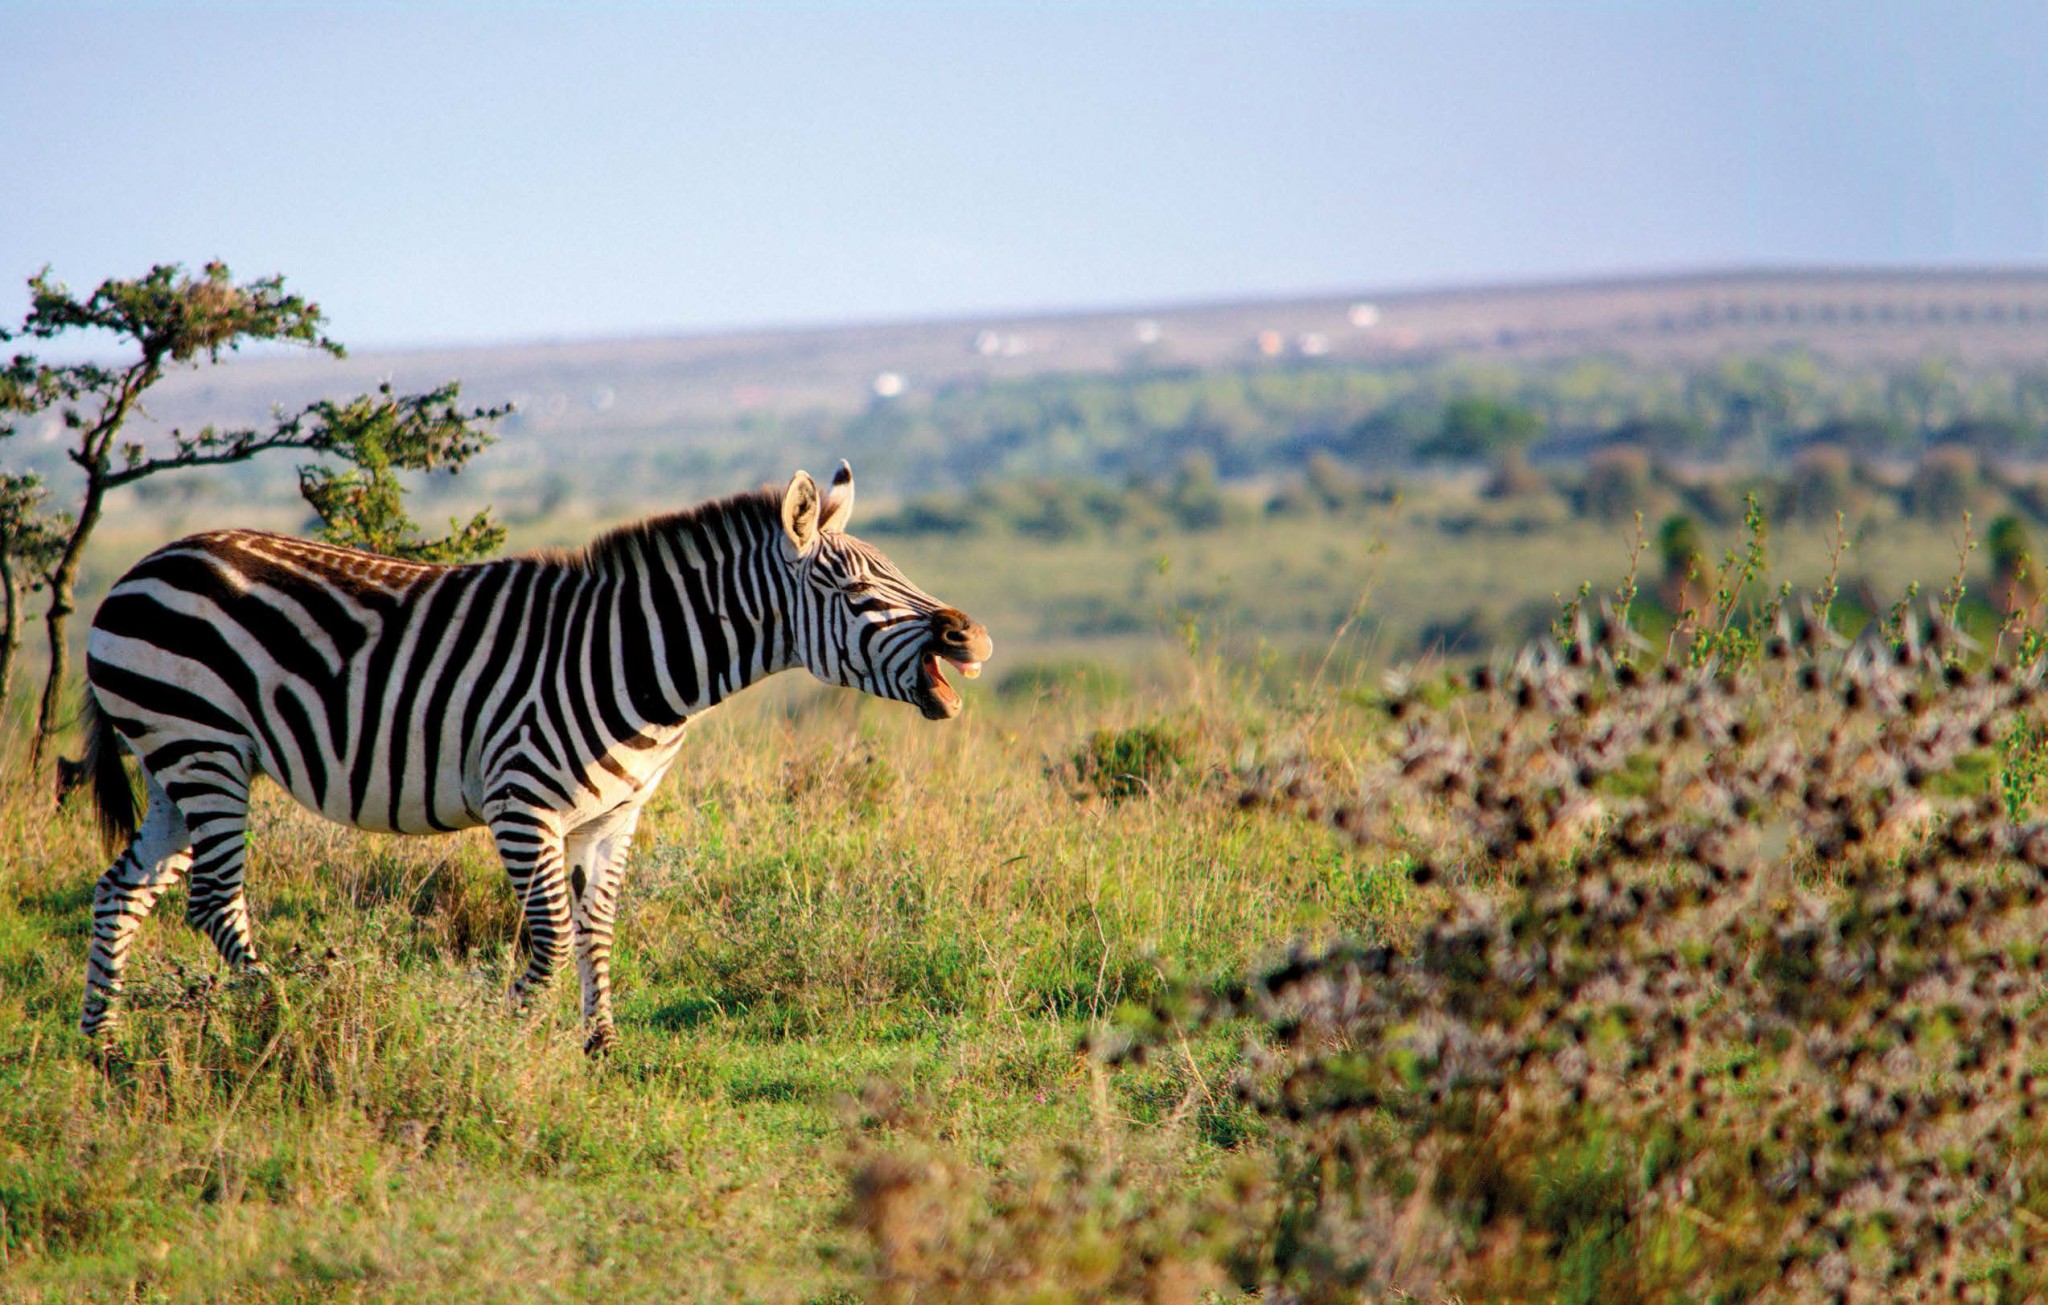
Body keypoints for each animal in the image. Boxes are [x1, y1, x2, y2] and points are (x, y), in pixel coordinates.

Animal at [75, 462, 991, 1054]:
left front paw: (601, 1047)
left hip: (174, 761)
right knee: (213, 901)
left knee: (123, 889)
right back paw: (286, 1016)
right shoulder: (522, 806)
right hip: (206, 748)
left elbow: (597, 928)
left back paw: (103, 1048)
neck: (638, 660)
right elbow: (549, 936)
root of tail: (142, 567)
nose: (972, 637)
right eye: (858, 593)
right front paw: (505, 1043)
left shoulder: (613, 817)